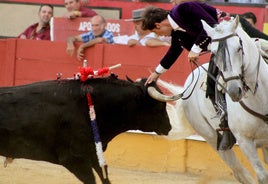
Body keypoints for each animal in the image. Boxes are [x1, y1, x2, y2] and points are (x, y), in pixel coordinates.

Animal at [149, 15, 268, 184]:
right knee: (239, 171)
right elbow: (262, 175)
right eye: (213, 52)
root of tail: (187, 86)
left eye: (239, 48)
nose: (234, 91)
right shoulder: (245, 141)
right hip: (211, 136)